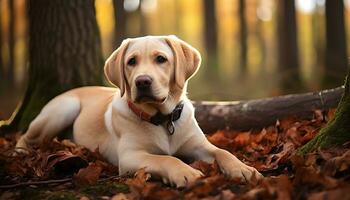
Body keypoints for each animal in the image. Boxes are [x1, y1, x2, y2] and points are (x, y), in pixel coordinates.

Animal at [17, 35, 262, 187]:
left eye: (161, 59)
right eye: (131, 61)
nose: (142, 81)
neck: (163, 119)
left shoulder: (198, 145)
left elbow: (223, 152)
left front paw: (243, 168)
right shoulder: (130, 156)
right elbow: (166, 159)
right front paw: (184, 172)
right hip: (63, 109)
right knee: (26, 135)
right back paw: (20, 151)